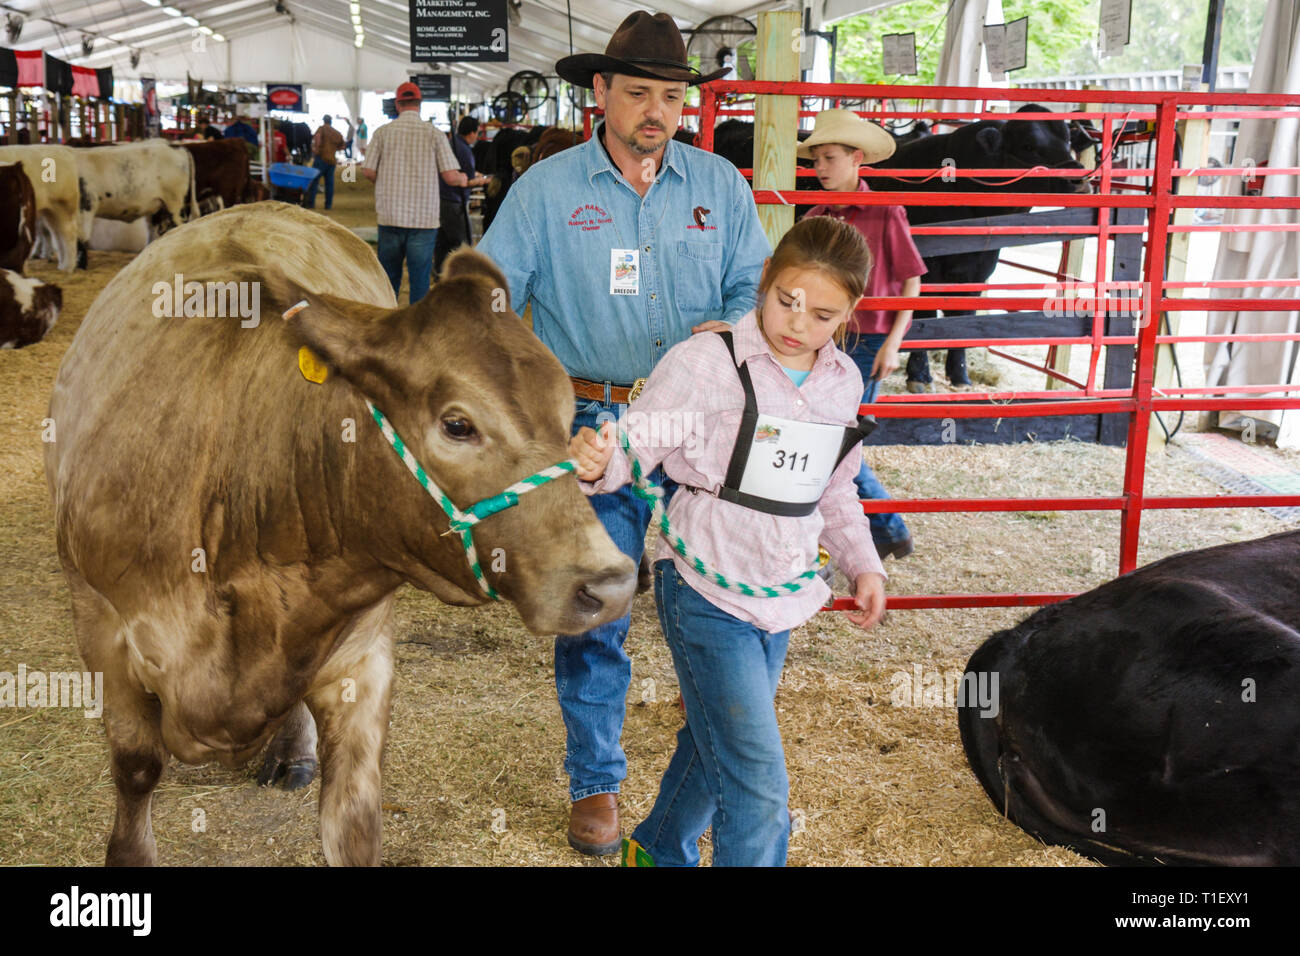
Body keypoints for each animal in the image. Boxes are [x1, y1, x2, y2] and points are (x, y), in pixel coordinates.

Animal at [0, 145, 85, 273]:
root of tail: (63, 149)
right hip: (50, 210)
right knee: (57, 233)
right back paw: (62, 264)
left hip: (63, 206)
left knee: (68, 233)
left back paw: (68, 267)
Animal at [48, 201, 637, 868]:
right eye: (457, 424)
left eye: (568, 416)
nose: (611, 584)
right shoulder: (101, 626)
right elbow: (137, 767)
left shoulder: (362, 649)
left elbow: (353, 820)